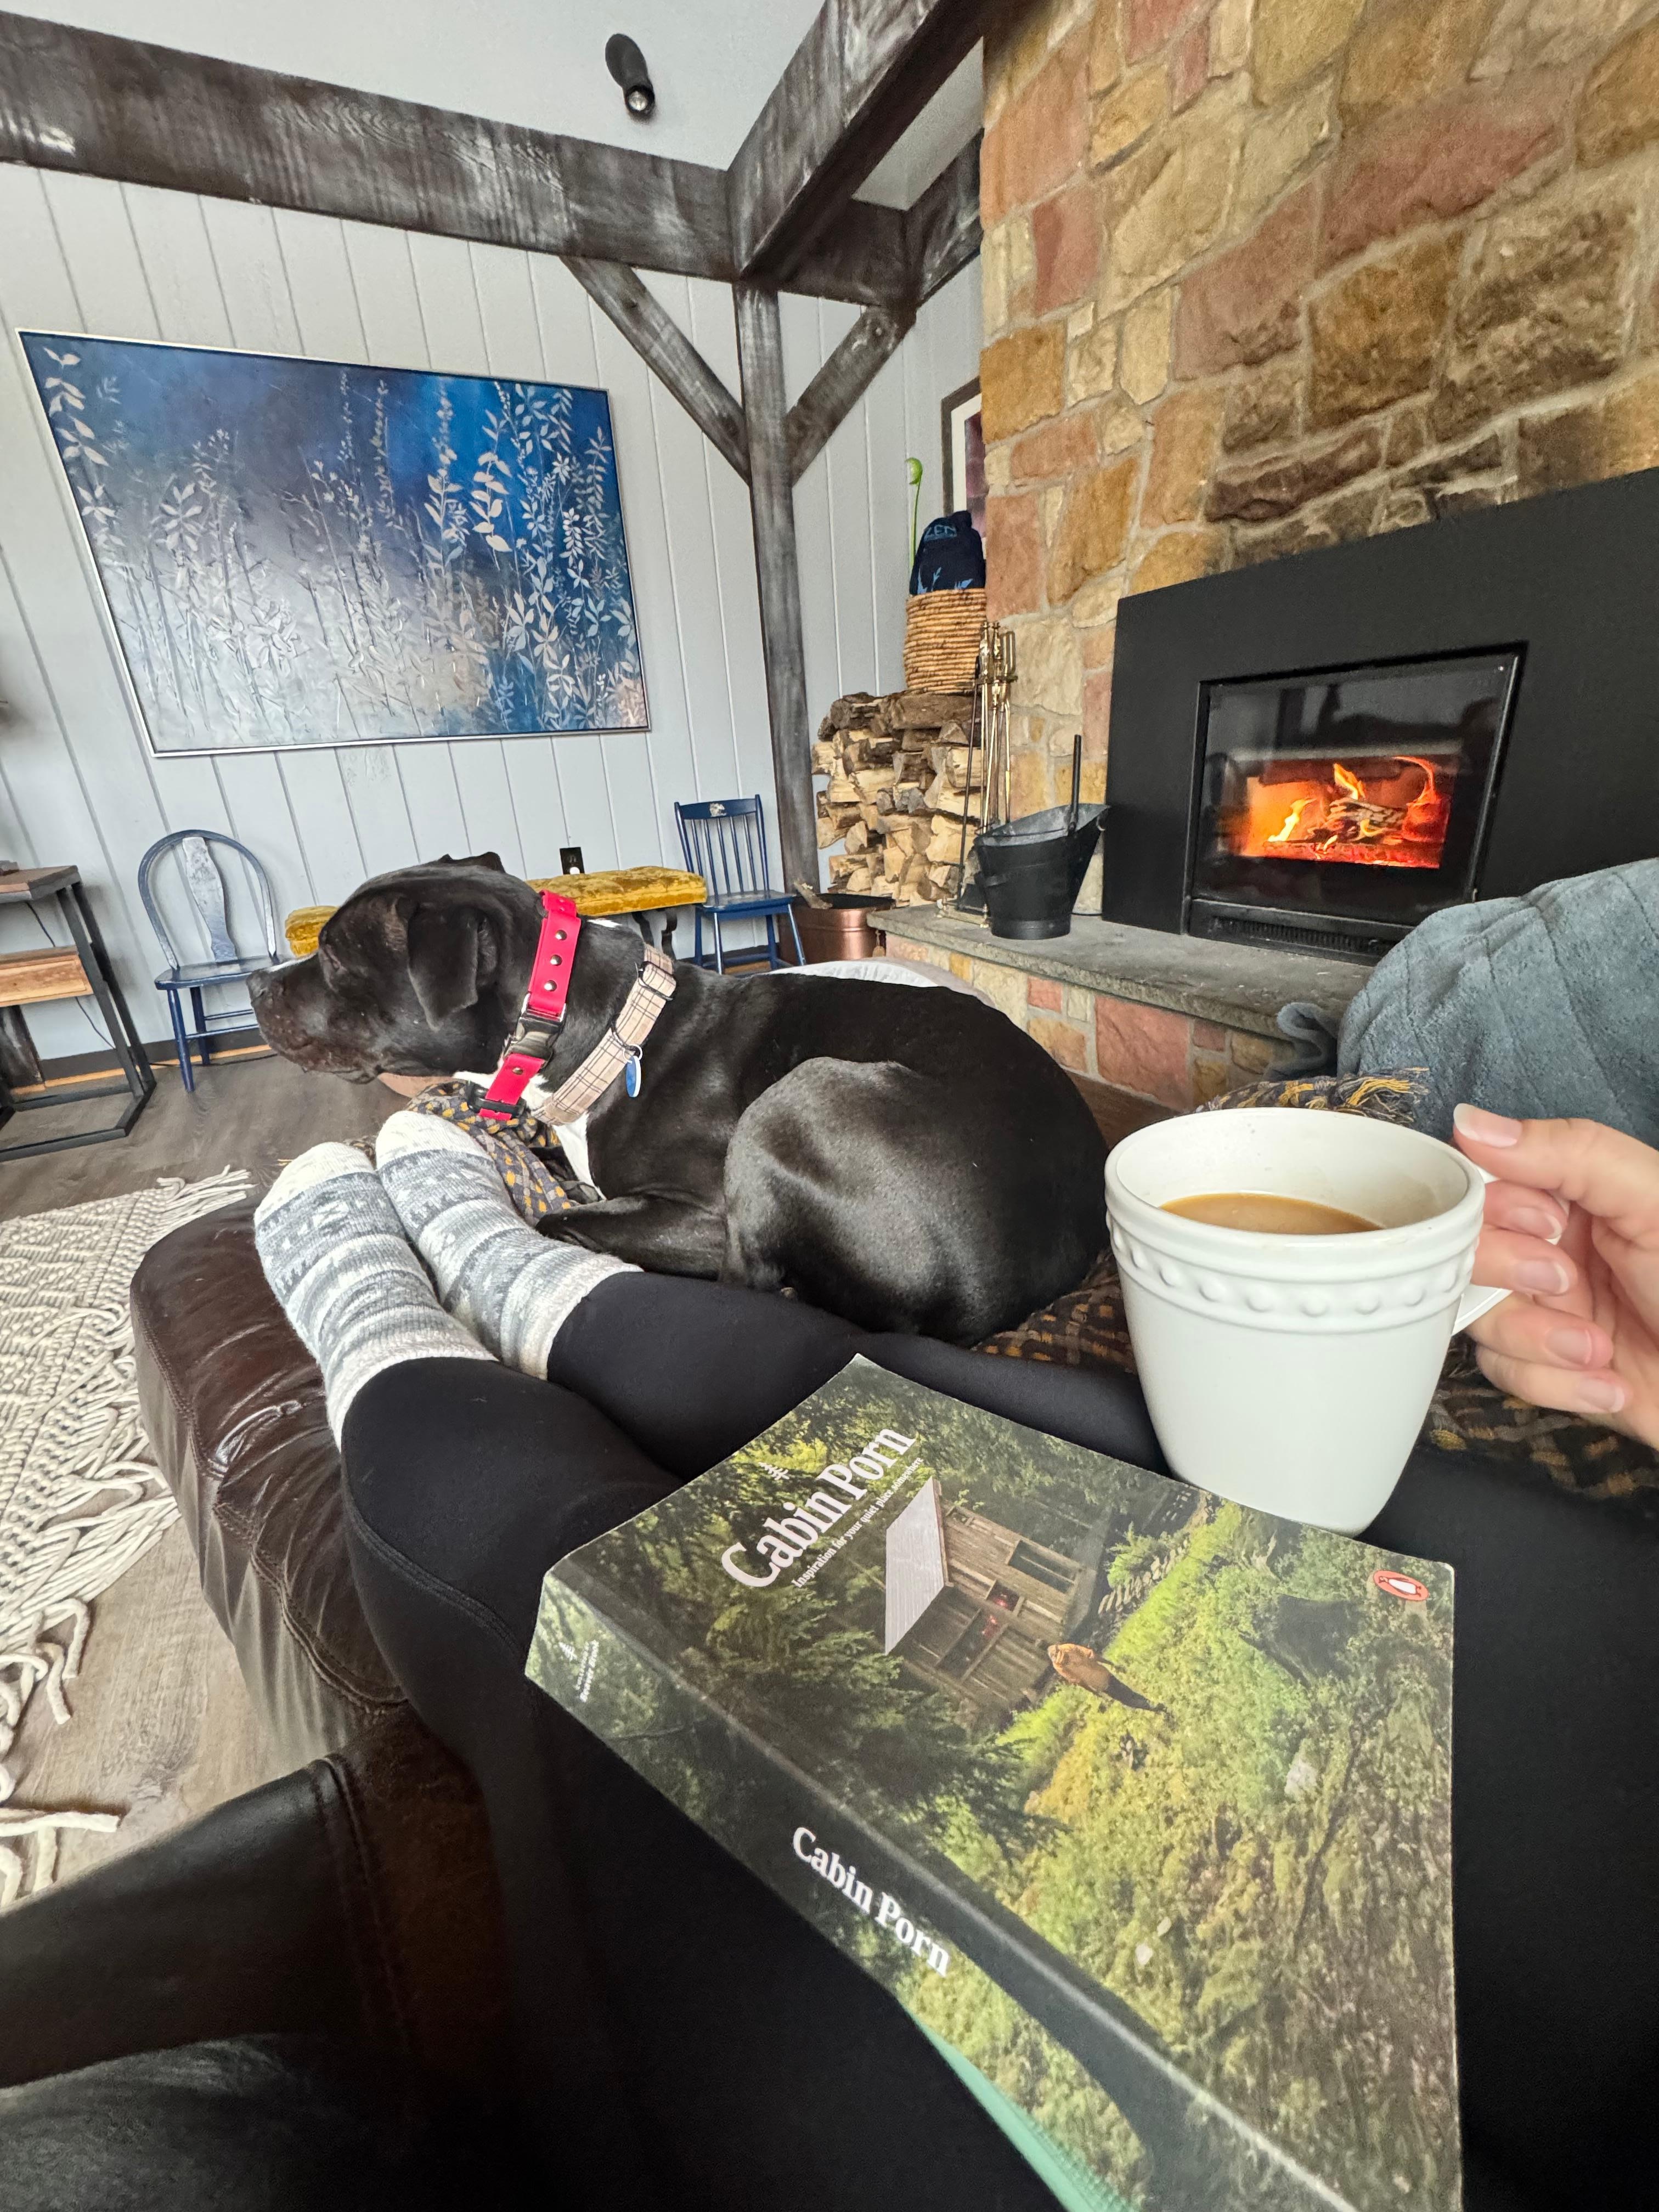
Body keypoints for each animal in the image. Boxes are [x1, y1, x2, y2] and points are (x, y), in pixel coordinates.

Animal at [249, 855, 1106, 1343]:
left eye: (335, 956)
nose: (256, 984)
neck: (601, 1036)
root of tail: (991, 1303)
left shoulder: (705, 1216)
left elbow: (559, 1216)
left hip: (798, 1100)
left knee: (748, 1286)